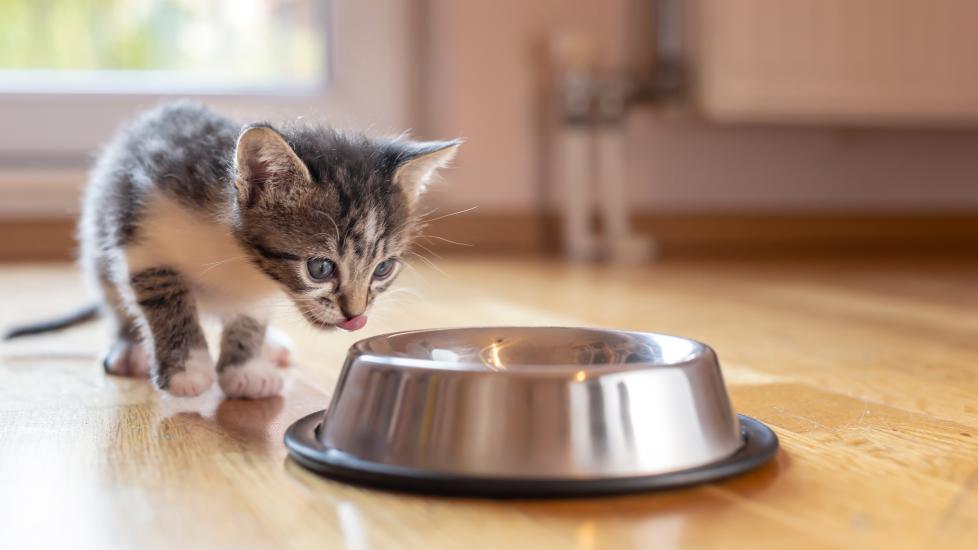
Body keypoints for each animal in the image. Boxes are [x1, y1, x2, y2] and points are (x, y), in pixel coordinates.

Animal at [1, 101, 460, 398]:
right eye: (320, 268)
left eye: (383, 269)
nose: (356, 317)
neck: (233, 250)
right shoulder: (141, 237)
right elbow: (165, 298)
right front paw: (188, 368)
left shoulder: (253, 289)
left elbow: (248, 317)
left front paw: (245, 367)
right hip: (97, 237)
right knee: (115, 298)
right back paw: (130, 348)